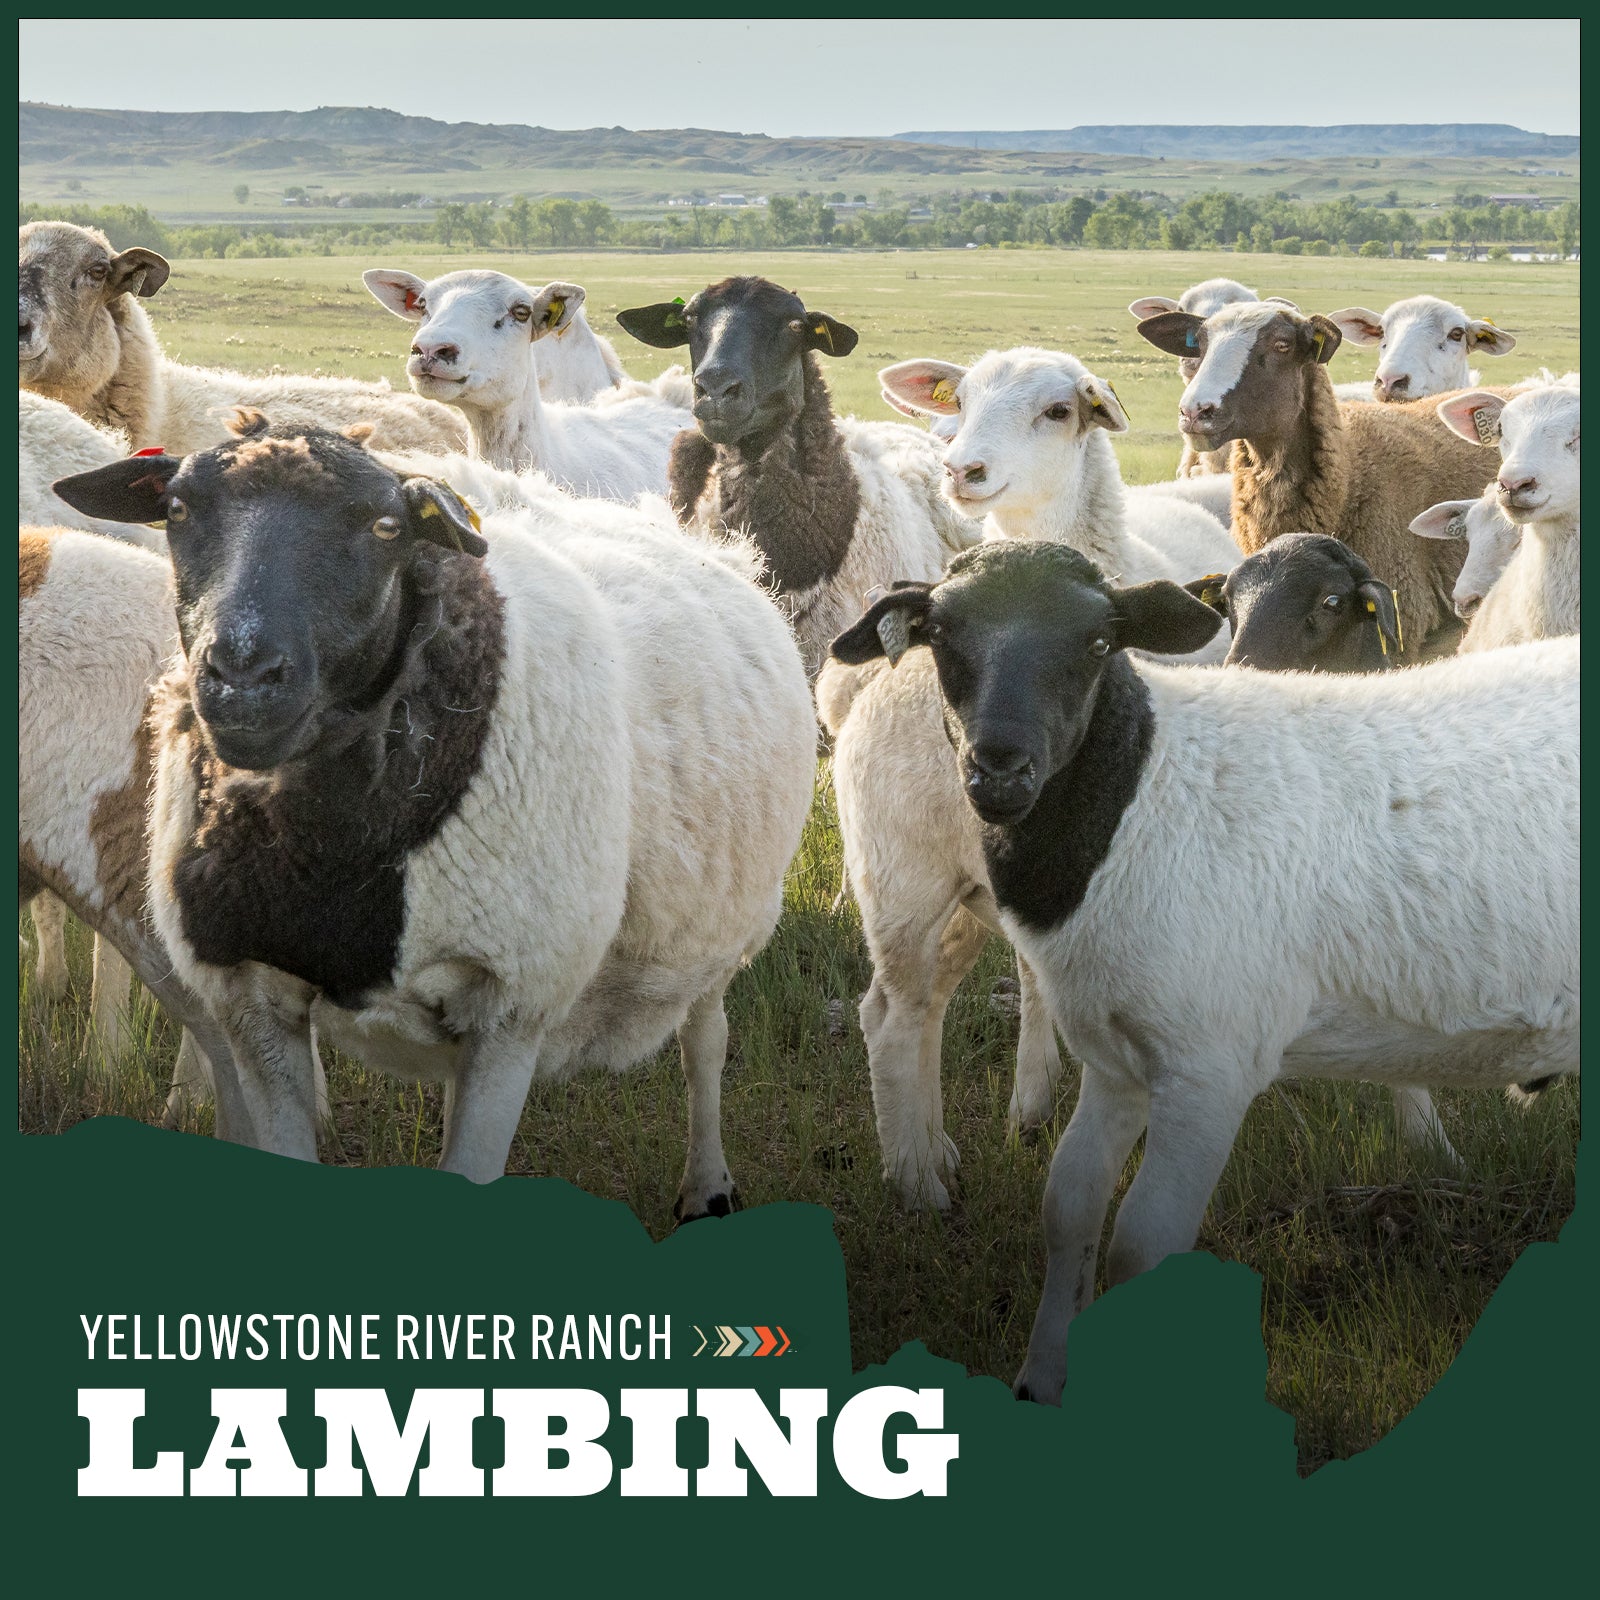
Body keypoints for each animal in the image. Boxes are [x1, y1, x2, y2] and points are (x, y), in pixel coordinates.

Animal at [52, 418, 817, 1198]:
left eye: (387, 527)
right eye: (176, 510)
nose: (243, 677)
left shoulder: (513, 1008)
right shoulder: (250, 997)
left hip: (728, 930)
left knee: (706, 1042)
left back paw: (708, 1185)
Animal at [832, 541, 1577, 1404]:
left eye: (1099, 643)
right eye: (942, 633)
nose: (1000, 772)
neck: (1141, 796)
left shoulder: (1201, 1065)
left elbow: (1121, 1236)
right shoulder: (1126, 1054)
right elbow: (1071, 1210)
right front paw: (1044, 1382)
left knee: (910, 1010)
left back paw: (924, 1168)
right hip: (910, 878)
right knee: (899, 1012)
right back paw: (920, 1175)